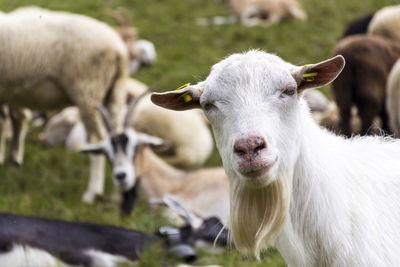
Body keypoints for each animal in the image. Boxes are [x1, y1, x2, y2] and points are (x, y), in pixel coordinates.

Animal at [0, 6, 129, 203]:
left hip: (88, 91)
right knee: (119, 139)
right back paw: (118, 194)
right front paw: (12, 161)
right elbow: (14, 121)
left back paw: (92, 194)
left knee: (98, 139)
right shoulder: (10, 91)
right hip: (113, 94)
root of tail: (118, 51)